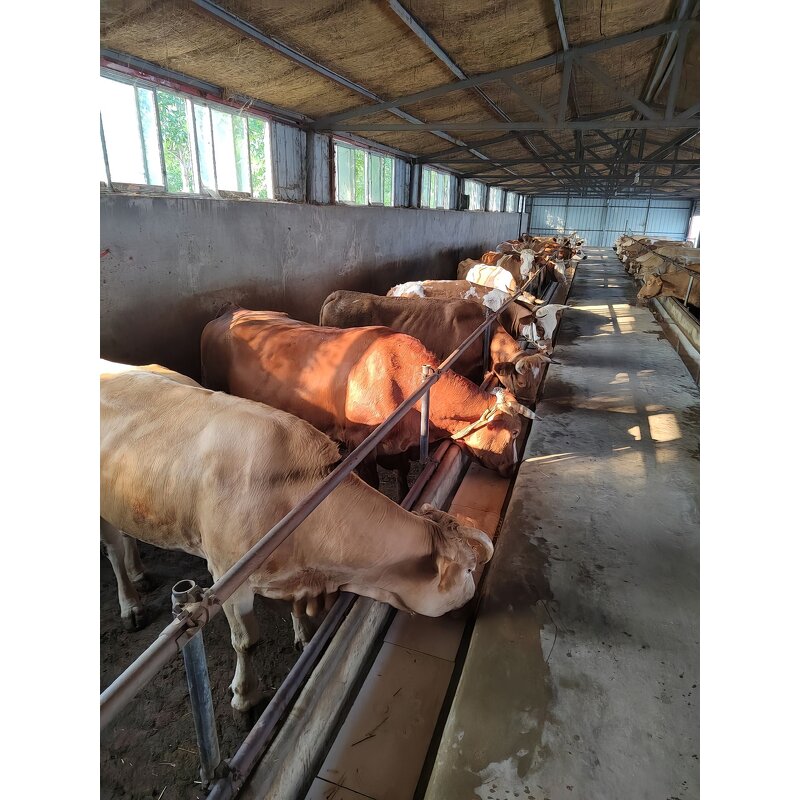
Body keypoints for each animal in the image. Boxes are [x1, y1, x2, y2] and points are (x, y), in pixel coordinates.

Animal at [101, 361, 494, 714]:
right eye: (468, 570)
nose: (475, 600)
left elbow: (294, 609)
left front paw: (304, 636)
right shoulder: (227, 577)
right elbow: (246, 643)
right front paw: (245, 697)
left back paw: (140, 573)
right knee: (114, 550)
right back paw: (131, 603)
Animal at [201, 308, 535, 487]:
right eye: (514, 433)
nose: (514, 468)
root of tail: (230, 312)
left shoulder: (399, 448)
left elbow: (402, 476)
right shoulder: (361, 443)